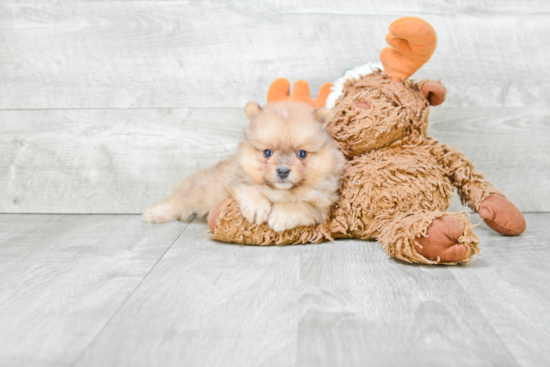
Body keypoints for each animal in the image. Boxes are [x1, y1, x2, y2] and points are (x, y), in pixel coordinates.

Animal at [144, 100, 348, 233]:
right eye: (267, 153)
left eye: (302, 154)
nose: (283, 171)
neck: (279, 191)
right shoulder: (237, 179)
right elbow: (250, 189)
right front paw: (258, 208)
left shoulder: (322, 205)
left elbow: (300, 205)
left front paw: (282, 216)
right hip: (201, 190)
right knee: (180, 199)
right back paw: (154, 213)